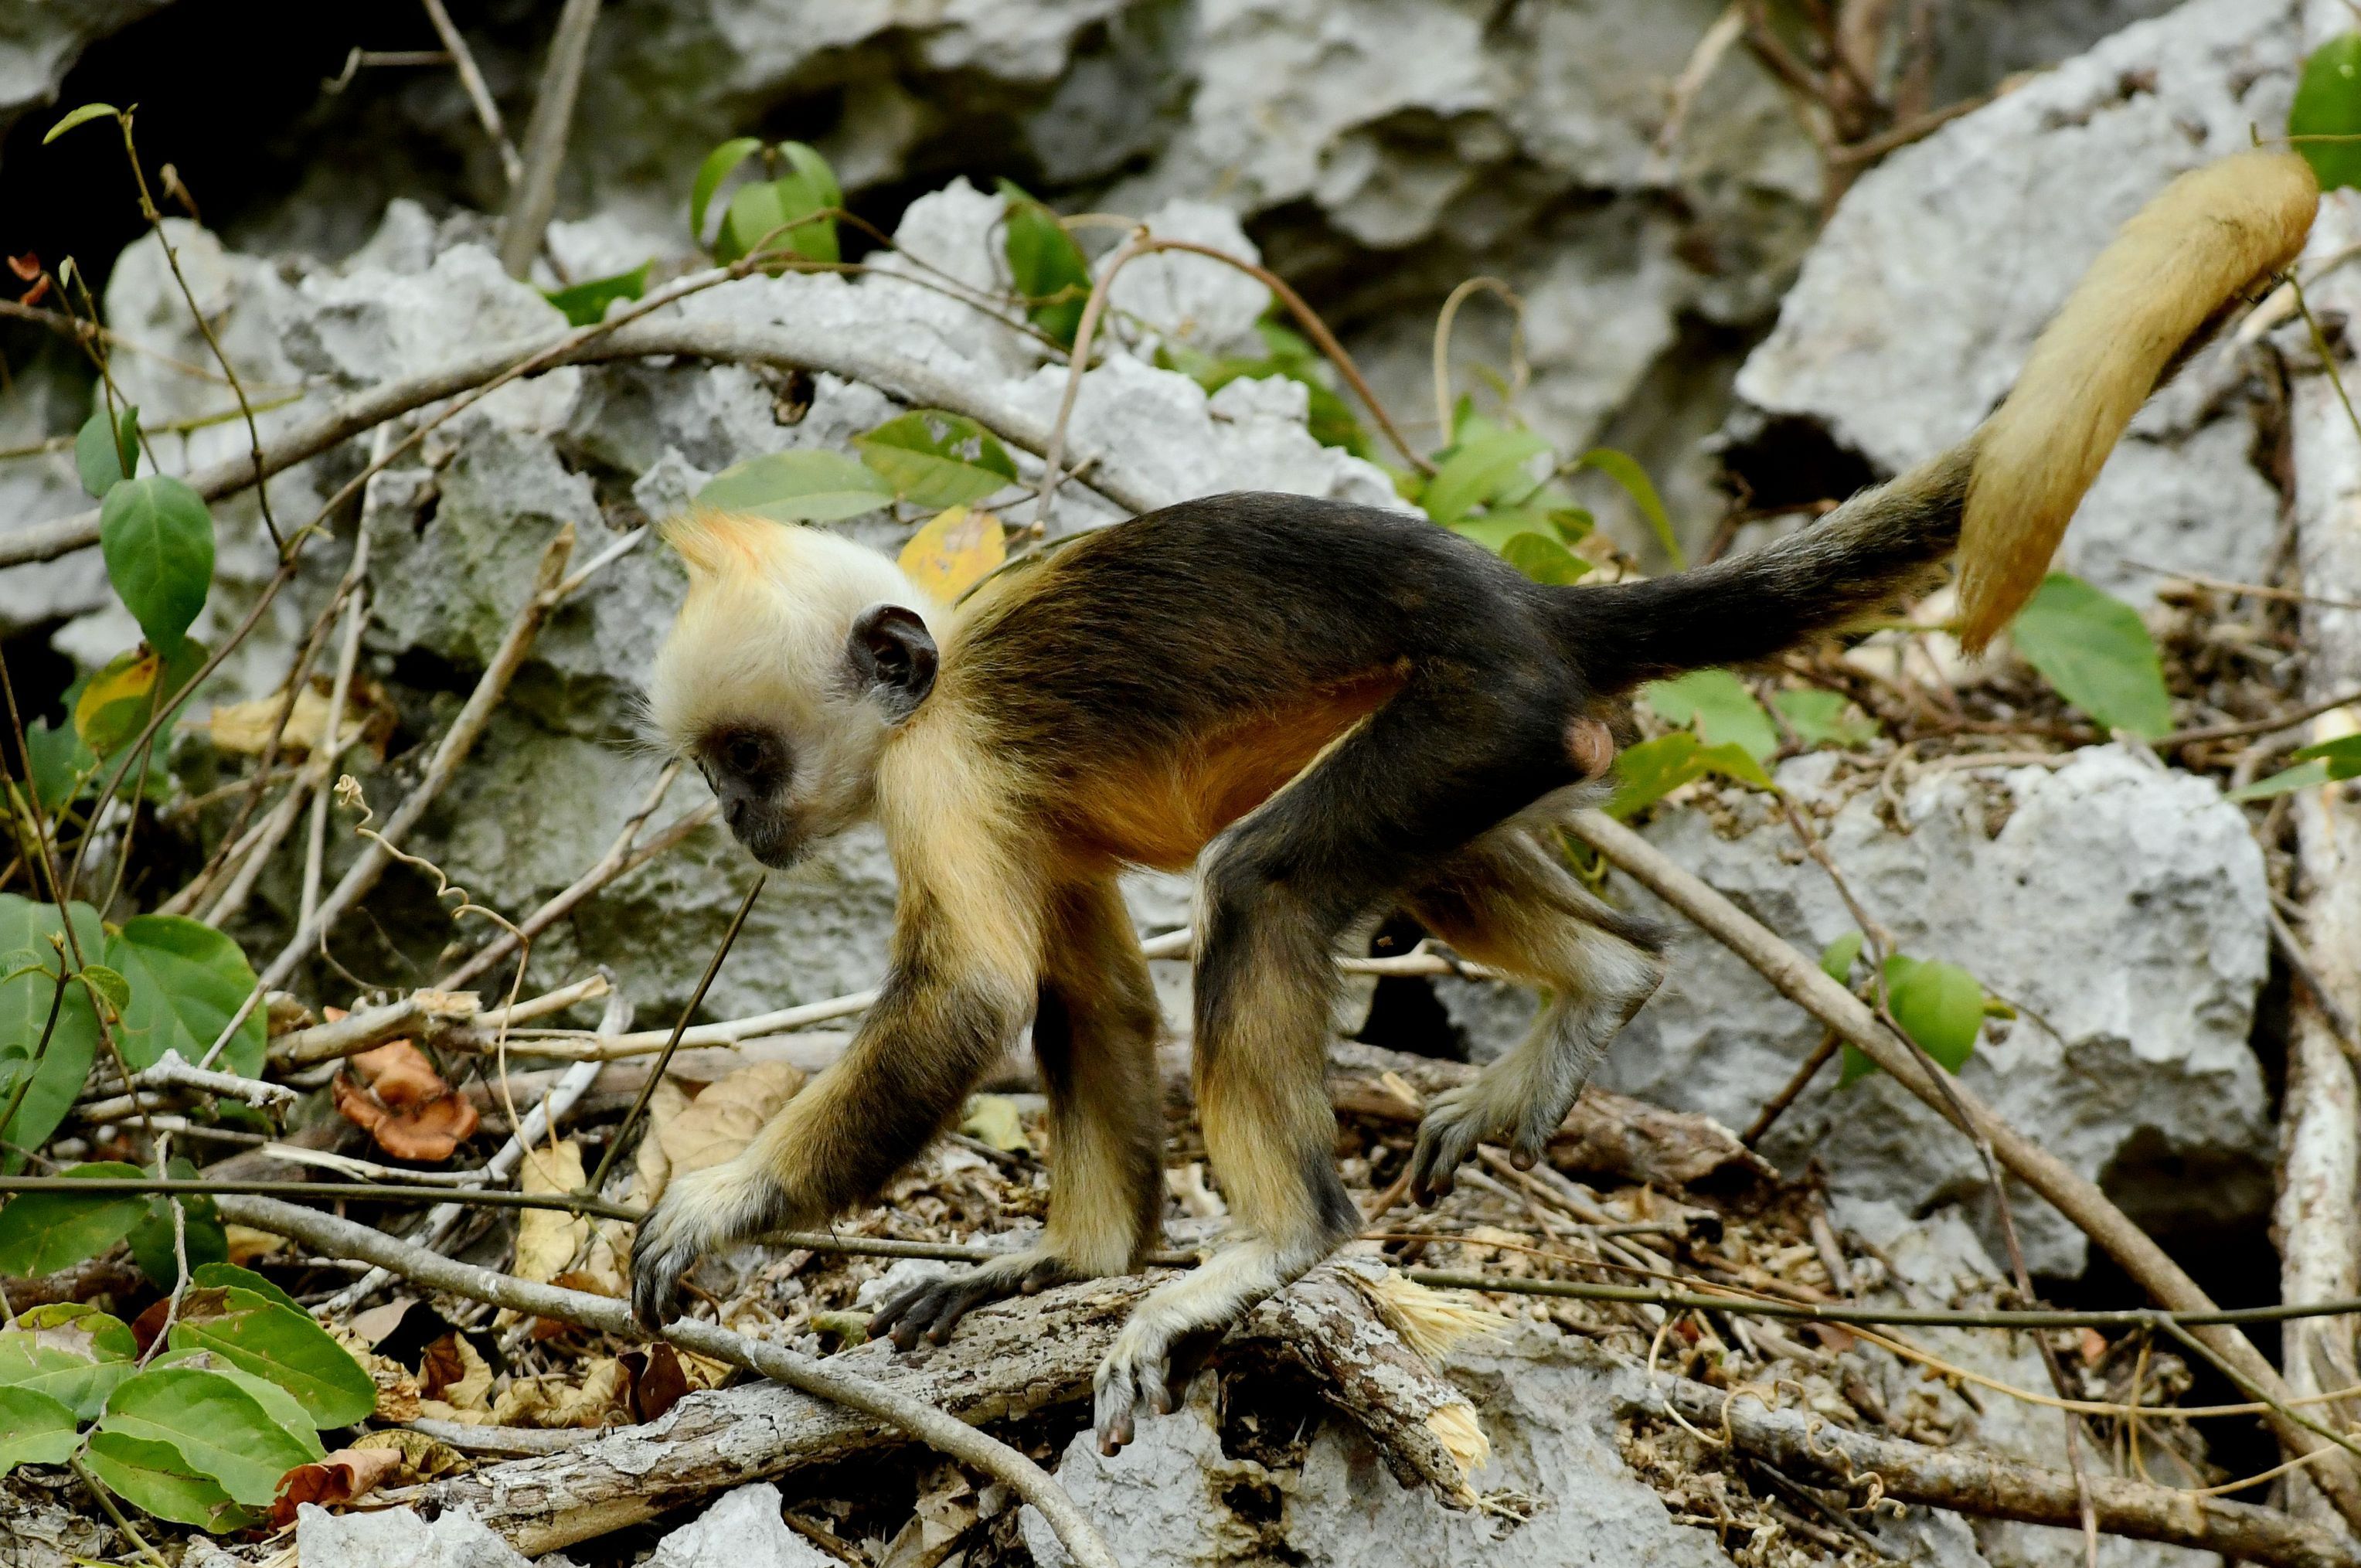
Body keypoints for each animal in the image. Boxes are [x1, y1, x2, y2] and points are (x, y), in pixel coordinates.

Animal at [623, 153, 2304, 1454]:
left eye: (746, 758)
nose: (741, 826)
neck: (941, 671)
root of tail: (1537, 608)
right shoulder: (1008, 810)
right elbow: (1089, 995)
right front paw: (1061, 1260)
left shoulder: (945, 775)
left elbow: (971, 998)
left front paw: (723, 1206)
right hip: (1509, 737)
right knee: (1434, 881)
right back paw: (1603, 986)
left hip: (1476, 706)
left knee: (1261, 882)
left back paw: (1280, 1244)